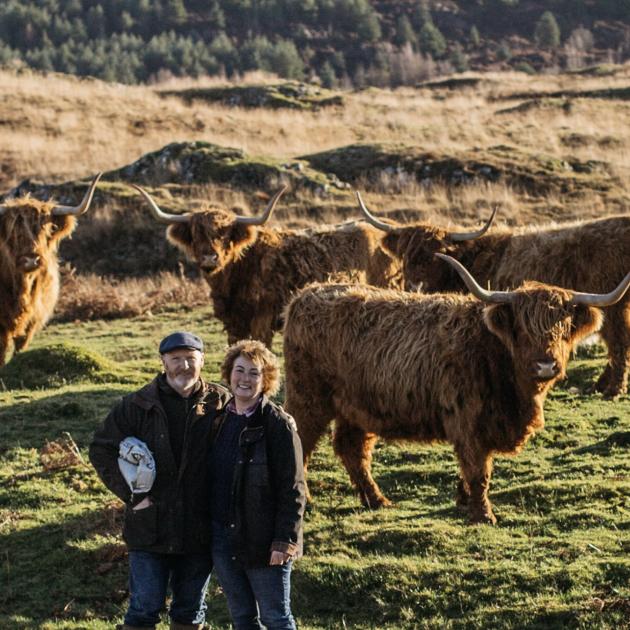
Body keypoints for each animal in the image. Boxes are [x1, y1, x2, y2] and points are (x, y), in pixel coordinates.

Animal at [282, 254, 630, 524]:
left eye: (563, 327)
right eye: (522, 328)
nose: (546, 365)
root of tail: (306, 294)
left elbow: (474, 468)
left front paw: (463, 501)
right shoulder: (468, 420)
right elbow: (478, 469)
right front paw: (483, 515)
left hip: (356, 406)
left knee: (351, 448)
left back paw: (376, 500)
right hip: (307, 398)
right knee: (302, 442)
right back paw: (308, 501)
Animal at [358, 196, 630, 400]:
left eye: (438, 255)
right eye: (406, 254)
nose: (415, 285)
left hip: (613, 307)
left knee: (619, 342)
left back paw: (612, 389)